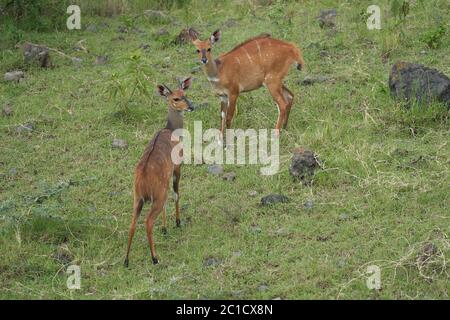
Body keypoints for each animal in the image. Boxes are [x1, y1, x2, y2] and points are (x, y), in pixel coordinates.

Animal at [124, 78, 192, 268]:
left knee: (132, 223)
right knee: (147, 222)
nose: (191, 107)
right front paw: (177, 222)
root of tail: (142, 179)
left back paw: (126, 260)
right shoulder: (177, 168)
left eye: (185, 94)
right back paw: (154, 258)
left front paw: (165, 228)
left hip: (138, 199)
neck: (170, 129)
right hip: (156, 198)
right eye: (176, 98)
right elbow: (176, 194)